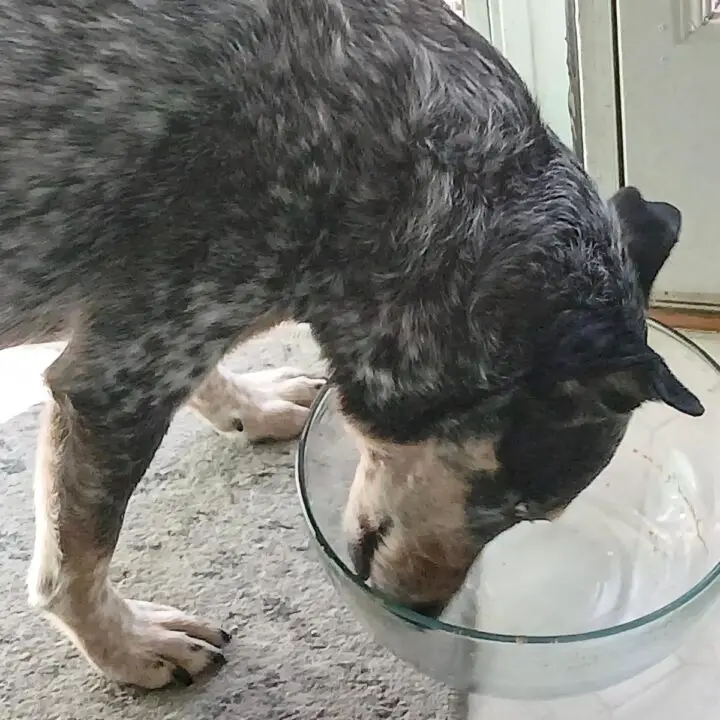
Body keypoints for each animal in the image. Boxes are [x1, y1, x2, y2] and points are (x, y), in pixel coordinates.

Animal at [1, 0, 704, 692]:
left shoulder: (155, 336)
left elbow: (203, 374)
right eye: (524, 508)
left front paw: (253, 406)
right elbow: (76, 559)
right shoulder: (119, 381)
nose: (427, 617)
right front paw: (128, 645)